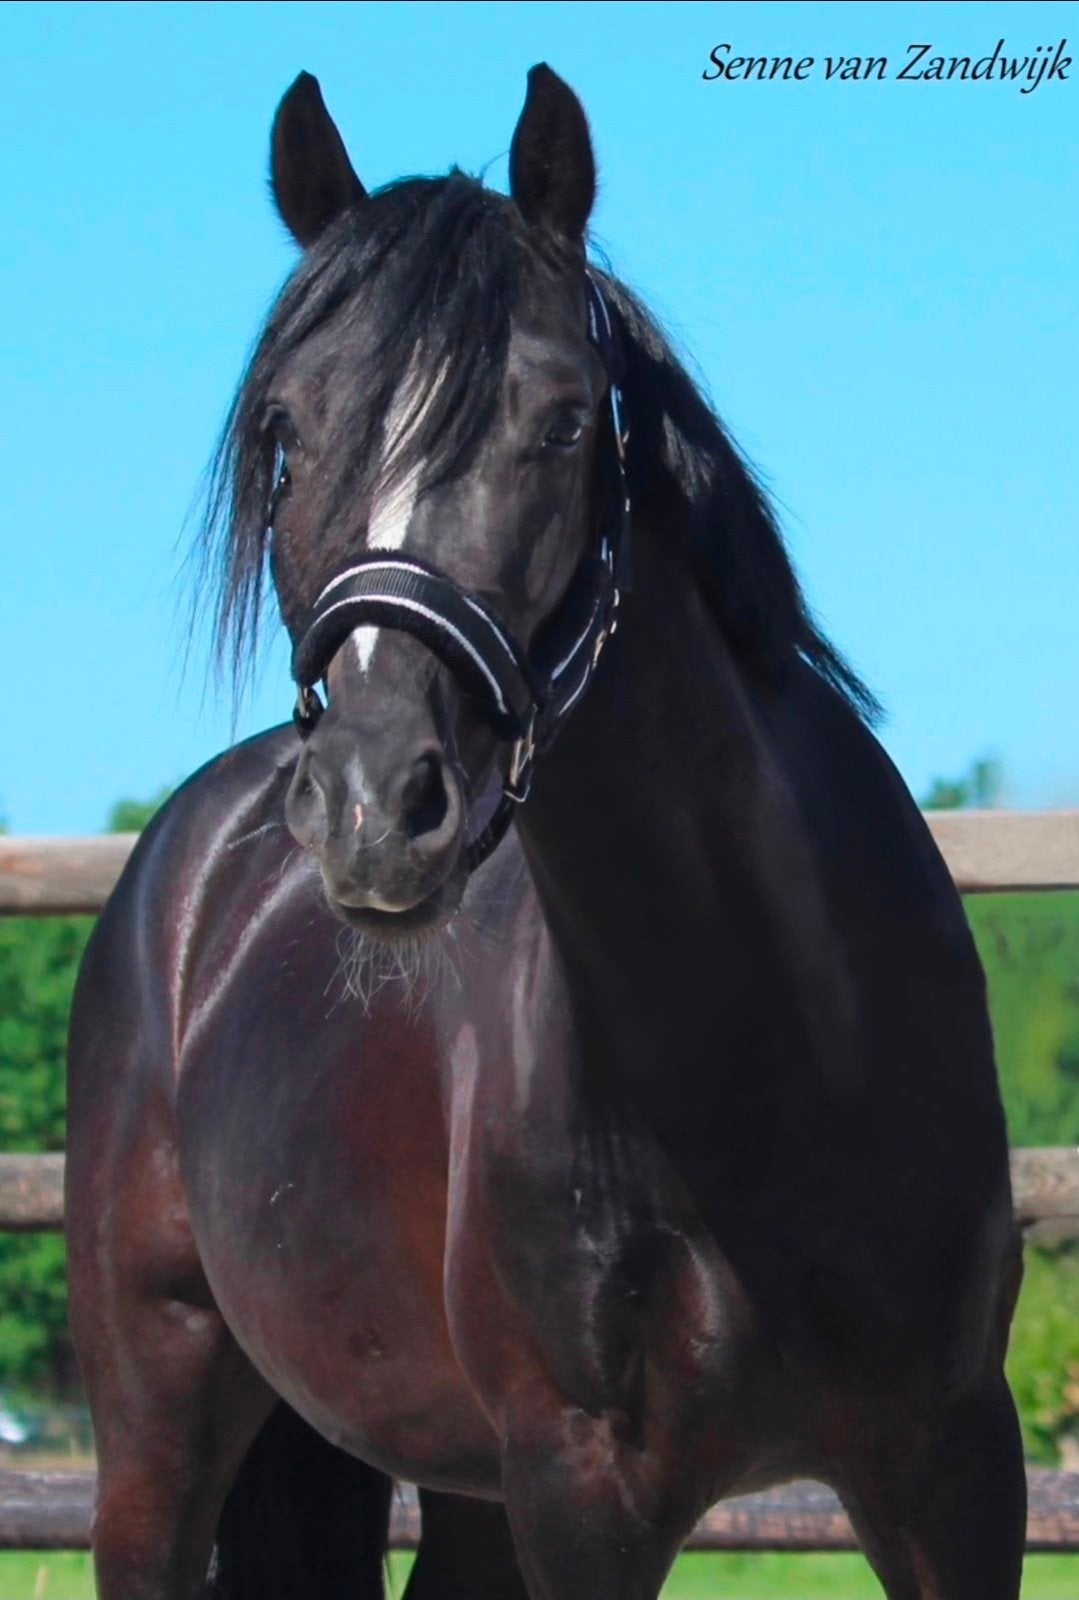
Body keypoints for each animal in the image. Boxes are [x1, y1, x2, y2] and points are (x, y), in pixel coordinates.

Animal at [65, 65, 1026, 1600]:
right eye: (284, 430)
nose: (371, 805)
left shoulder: (952, 1468)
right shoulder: (582, 1493)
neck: (766, 1054)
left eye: (565, 422)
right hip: (160, 1426)